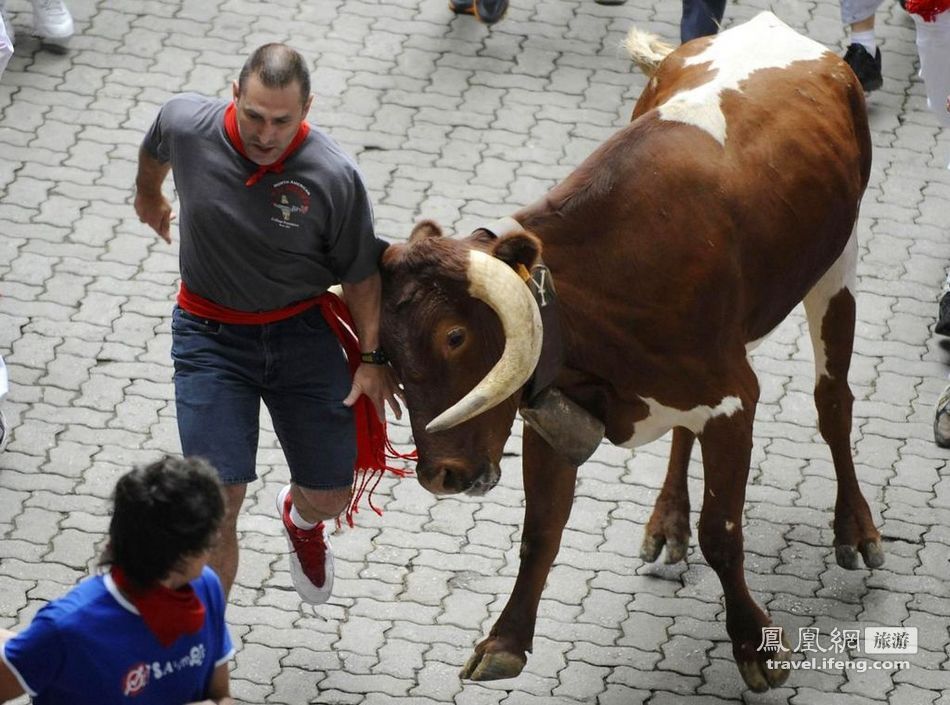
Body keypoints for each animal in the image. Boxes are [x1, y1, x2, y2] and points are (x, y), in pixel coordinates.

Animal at [378, 13, 884, 692]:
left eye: (454, 336)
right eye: (387, 352)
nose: (440, 475)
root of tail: (774, 27)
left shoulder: (734, 398)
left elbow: (723, 531)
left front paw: (755, 646)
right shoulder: (551, 412)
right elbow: (540, 530)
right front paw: (505, 640)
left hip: (838, 263)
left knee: (833, 401)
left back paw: (855, 527)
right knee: (687, 434)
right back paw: (667, 521)